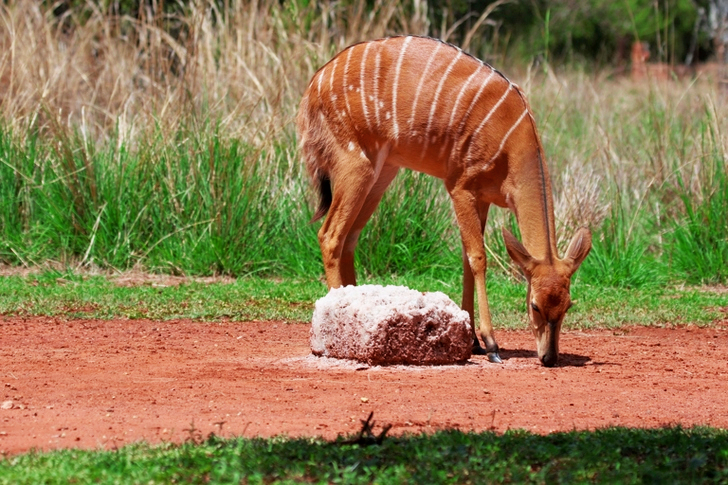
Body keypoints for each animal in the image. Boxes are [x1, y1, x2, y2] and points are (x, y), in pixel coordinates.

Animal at [296, 36, 592, 367]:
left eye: (568, 306)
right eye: (534, 305)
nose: (549, 357)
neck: (512, 144)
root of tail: (313, 85)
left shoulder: (483, 198)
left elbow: (466, 259)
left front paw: (473, 341)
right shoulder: (460, 186)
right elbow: (478, 258)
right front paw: (491, 344)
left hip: (381, 172)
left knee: (349, 237)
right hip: (355, 164)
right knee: (330, 234)